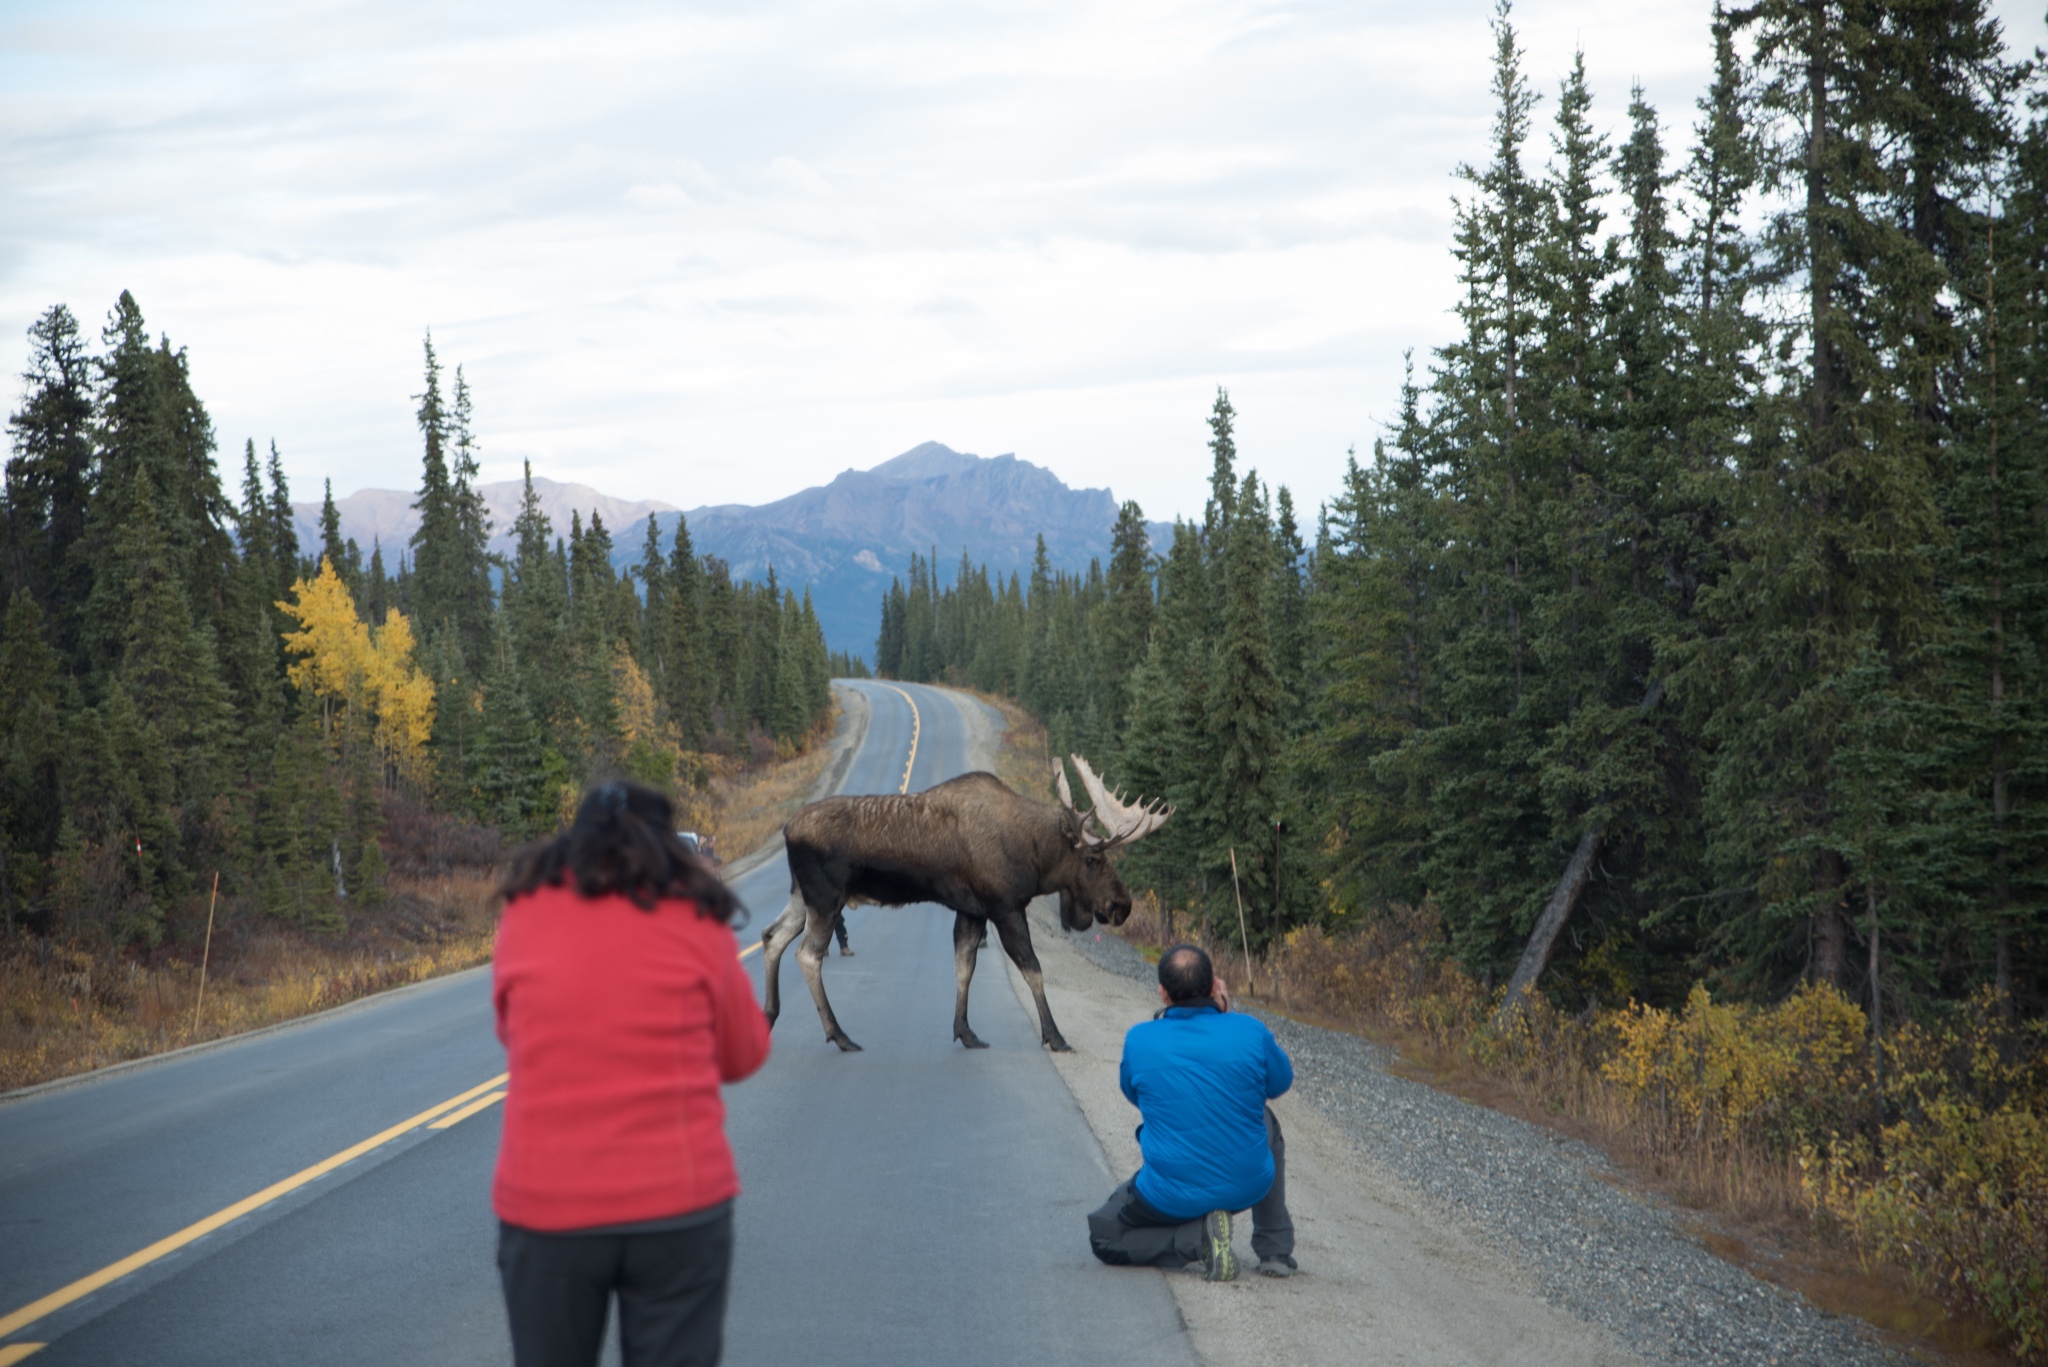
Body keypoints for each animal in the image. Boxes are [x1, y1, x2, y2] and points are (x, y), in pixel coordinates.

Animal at [757, 754, 1179, 1057]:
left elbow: (964, 967)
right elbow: (1033, 970)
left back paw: (770, 1015)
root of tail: (786, 830)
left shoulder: (972, 910)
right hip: (826, 898)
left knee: (771, 936)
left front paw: (965, 1032)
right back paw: (839, 1034)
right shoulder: (1005, 907)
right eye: (1092, 859)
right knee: (807, 954)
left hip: (802, 896)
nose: (1122, 905)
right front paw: (1055, 1036)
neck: (1034, 856)